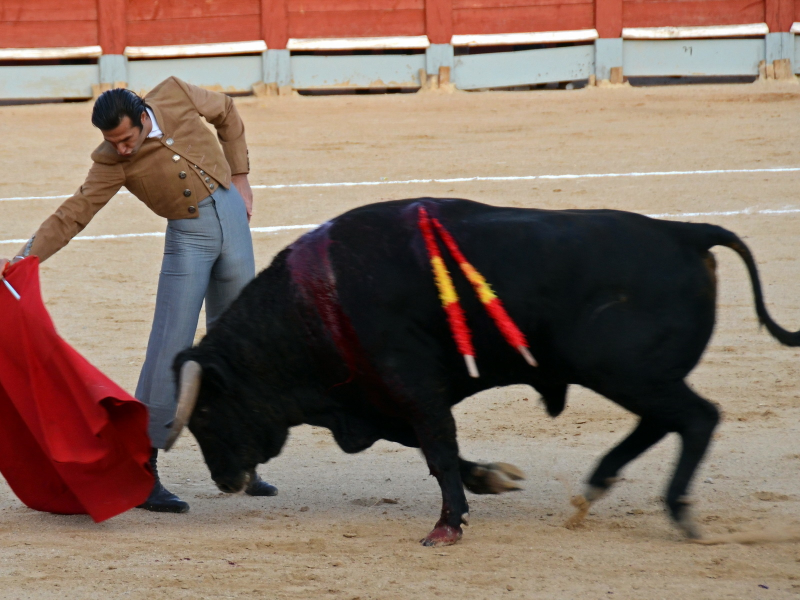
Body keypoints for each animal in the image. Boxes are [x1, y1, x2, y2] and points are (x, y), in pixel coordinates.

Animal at [166, 199, 796, 548]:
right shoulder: (382, 398)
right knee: (664, 422)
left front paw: (445, 529)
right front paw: (490, 480)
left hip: (629, 373)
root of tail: (686, 233)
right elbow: (428, 447)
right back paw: (595, 489)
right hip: (632, 376)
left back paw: (680, 514)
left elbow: (438, 450)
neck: (316, 303)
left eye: (207, 414)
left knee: (696, 418)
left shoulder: (412, 384)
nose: (225, 481)